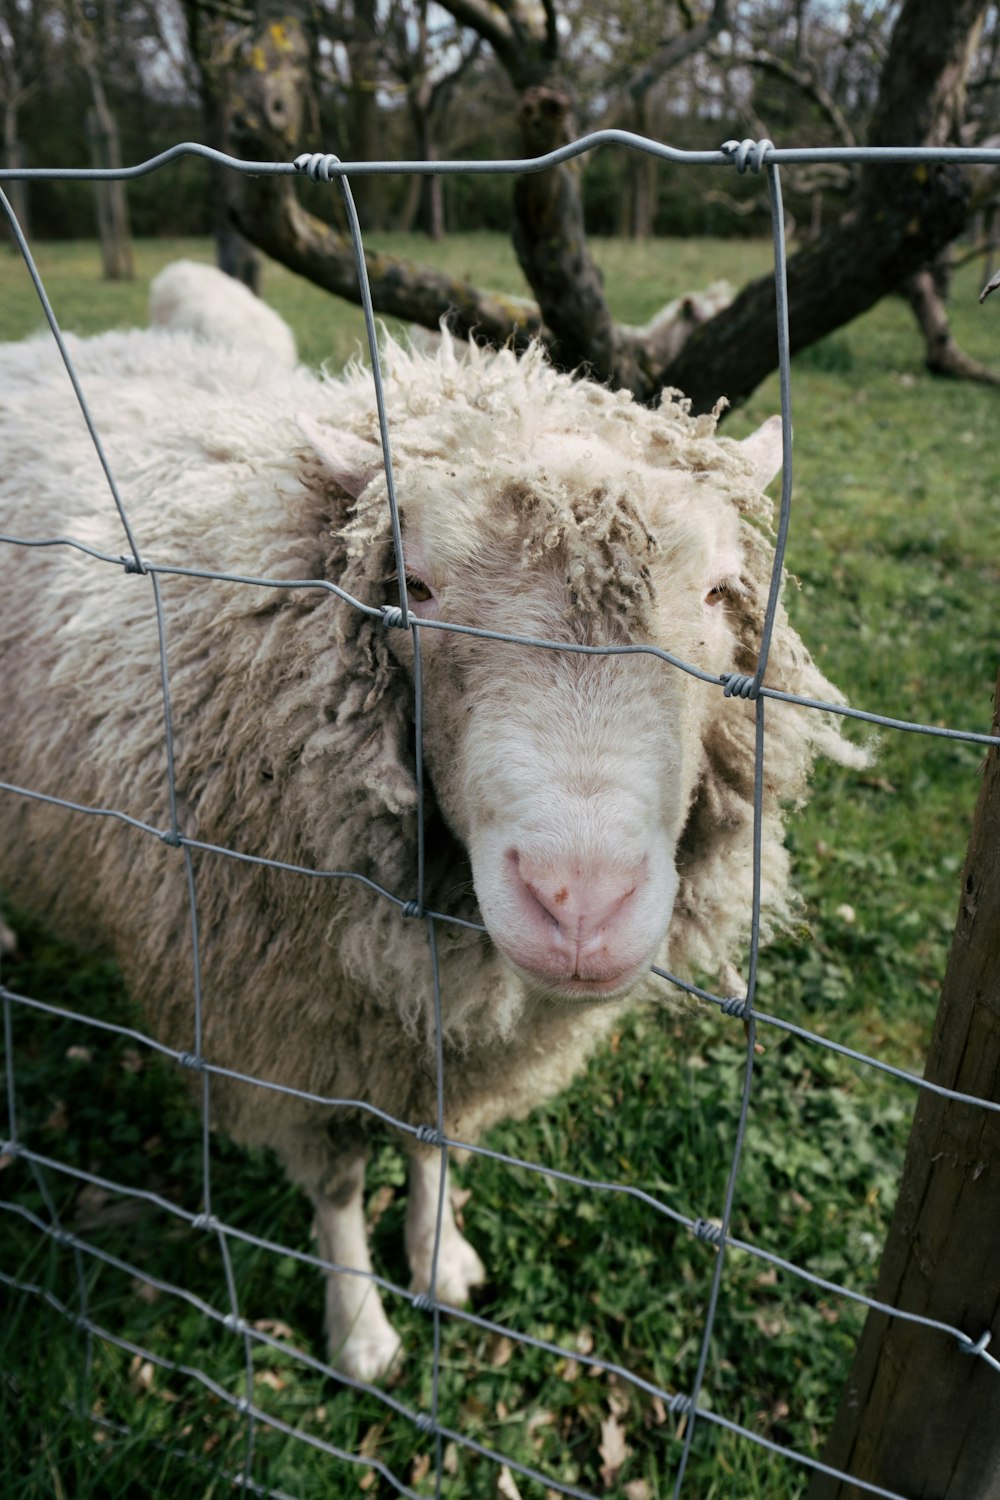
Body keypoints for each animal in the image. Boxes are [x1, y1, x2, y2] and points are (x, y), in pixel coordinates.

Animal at [0, 319, 863, 1380]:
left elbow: (432, 1144)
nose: (581, 907)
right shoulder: (284, 1042)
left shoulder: (435, 1042)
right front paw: (361, 1328)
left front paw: (439, 1257)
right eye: (410, 589)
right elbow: (336, 1191)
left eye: (715, 593)